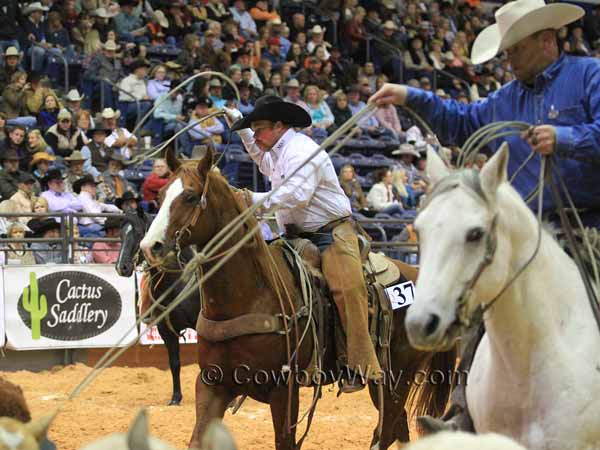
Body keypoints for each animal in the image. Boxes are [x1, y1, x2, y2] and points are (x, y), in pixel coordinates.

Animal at [116, 211, 200, 404]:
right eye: (121, 235)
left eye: (140, 234)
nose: (121, 267)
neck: (177, 282)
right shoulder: (165, 330)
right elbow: (174, 363)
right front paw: (176, 398)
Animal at [138, 149, 458, 450]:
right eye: (161, 195)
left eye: (190, 196)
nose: (151, 247)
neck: (251, 295)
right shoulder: (212, 383)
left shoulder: (284, 390)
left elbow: (285, 442)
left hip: (397, 377)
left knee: (387, 430)